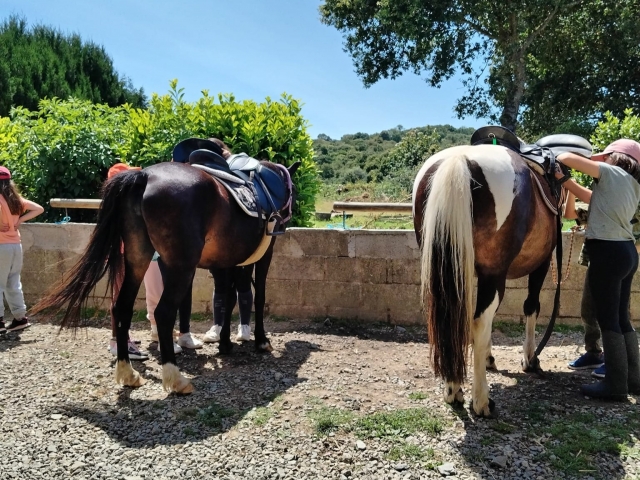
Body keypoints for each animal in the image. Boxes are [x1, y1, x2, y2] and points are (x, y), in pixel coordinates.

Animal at [33, 155, 300, 395]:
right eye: (293, 189)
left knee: (121, 307)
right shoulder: (264, 255)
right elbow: (259, 296)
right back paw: (176, 378)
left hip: (137, 258)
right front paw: (261, 341)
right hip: (180, 268)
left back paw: (127, 373)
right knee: (163, 313)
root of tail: (144, 176)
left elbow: (229, 298)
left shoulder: (228, 260)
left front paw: (225, 343)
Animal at [412, 143, 565, 417]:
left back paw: (453, 390)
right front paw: (529, 359)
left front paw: (489, 358)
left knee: (456, 318)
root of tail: (459, 159)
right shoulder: (541, 263)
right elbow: (531, 307)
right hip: (494, 275)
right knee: (479, 323)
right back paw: (481, 401)